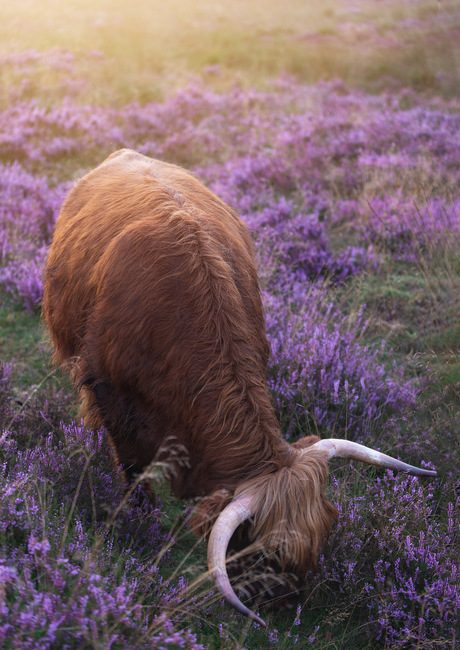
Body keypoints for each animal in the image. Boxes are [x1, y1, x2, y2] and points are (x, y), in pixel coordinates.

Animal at [44, 149, 438, 624]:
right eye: (268, 554)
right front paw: (141, 517)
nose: (288, 610)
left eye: (327, 527)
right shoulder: (109, 388)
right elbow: (133, 463)